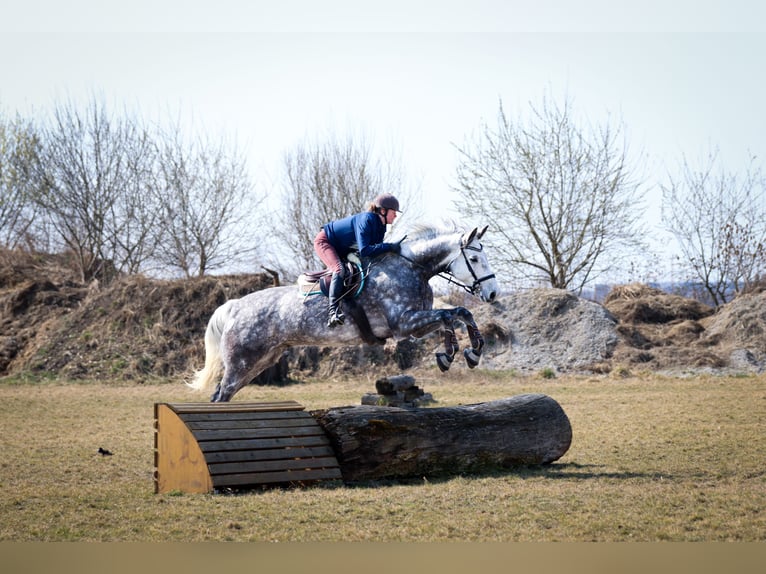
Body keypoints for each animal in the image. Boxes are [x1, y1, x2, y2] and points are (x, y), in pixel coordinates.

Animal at [189, 223, 500, 402]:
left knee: (223, 393)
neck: (415, 268)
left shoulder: (415, 324)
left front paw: (470, 353)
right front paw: (450, 355)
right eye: (474, 259)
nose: (493, 293)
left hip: (261, 360)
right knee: (221, 394)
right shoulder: (403, 324)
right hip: (242, 361)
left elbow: (459, 313)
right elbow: (448, 316)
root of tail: (234, 306)